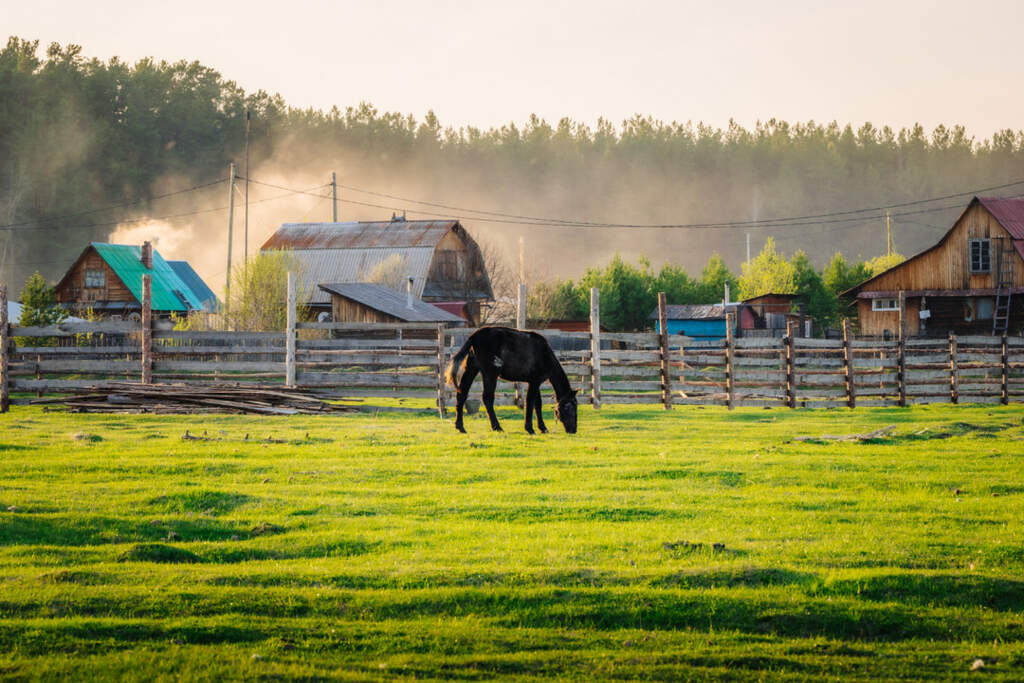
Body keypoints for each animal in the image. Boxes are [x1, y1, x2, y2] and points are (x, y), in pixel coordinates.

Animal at [446, 327, 581, 436]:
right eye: (571, 407)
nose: (573, 430)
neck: (545, 355)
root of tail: (474, 336)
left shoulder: (534, 382)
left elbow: (538, 404)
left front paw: (543, 428)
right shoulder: (535, 382)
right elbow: (530, 402)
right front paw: (530, 428)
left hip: (472, 368)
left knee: (462, 394)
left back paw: (460, 427)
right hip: (490, 374)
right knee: (487, 398)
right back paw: (497, 427)